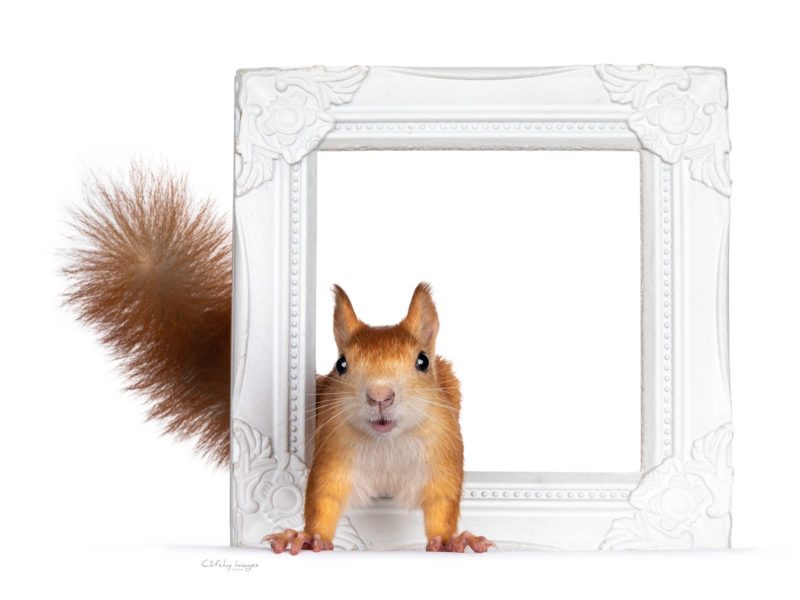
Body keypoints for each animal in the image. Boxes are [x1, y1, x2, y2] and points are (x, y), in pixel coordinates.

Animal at [63, 163, 493, 553]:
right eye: (341, 364)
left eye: (422, 362)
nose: (380, 396)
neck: (387, 443)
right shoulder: (332, 454)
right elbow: (323, 499)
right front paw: (307, 537)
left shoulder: (443, 457)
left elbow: (442, 504)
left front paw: (452, 540)